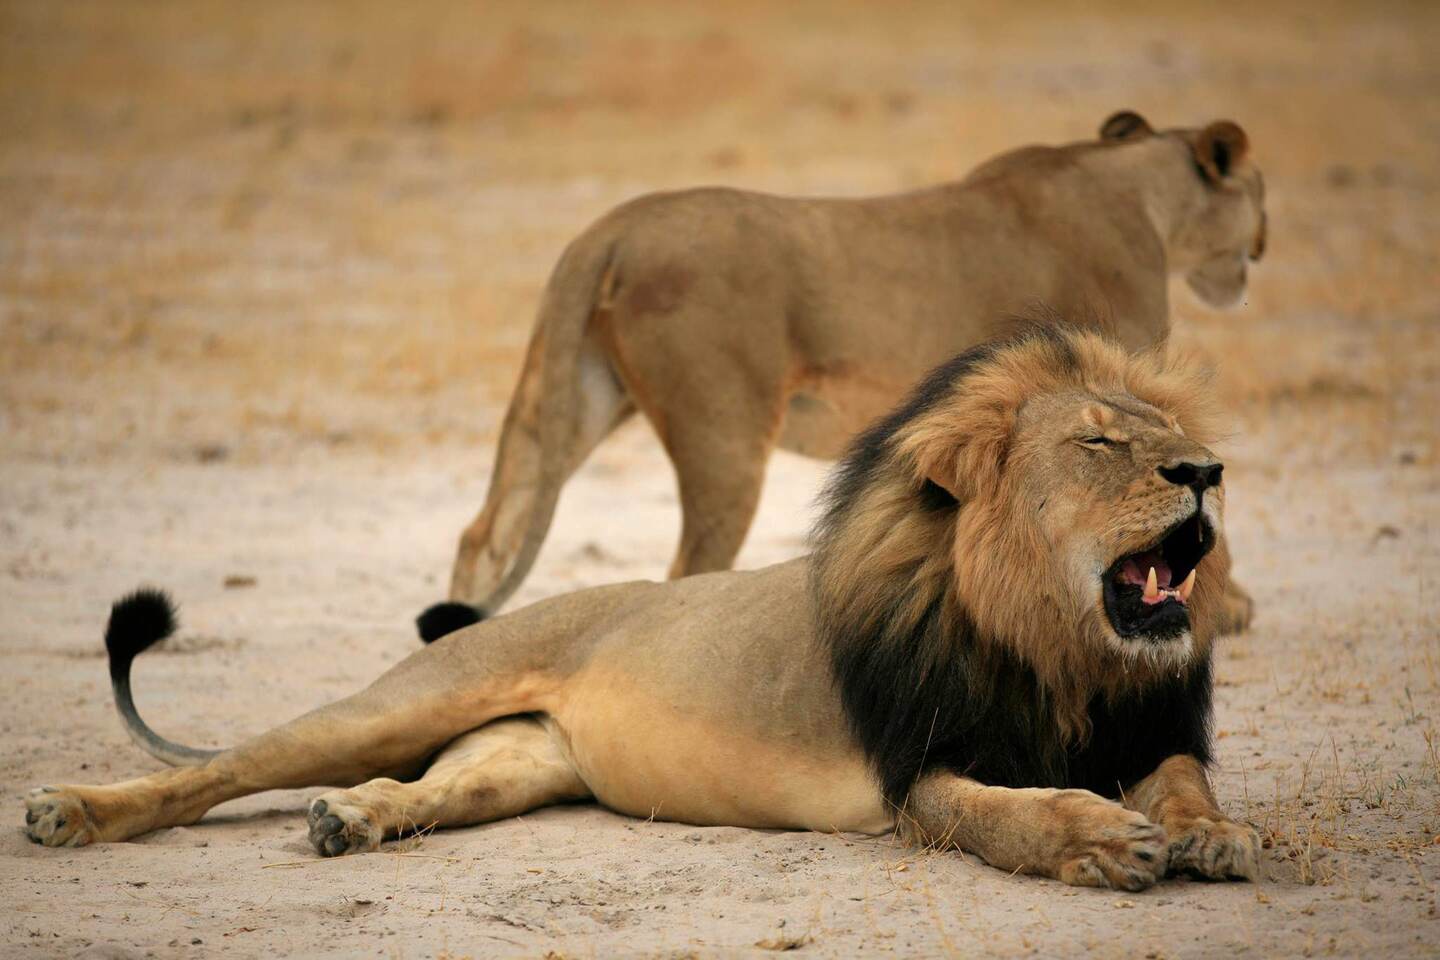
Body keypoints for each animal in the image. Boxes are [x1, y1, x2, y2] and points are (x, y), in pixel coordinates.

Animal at [26, 328, 1259, 890]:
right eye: (1099, 444)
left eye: (1166, 434)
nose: (1208, 471)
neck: (1060, 651)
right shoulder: (919, 771)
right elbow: (1010, 814)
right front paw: (1101, 839)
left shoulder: (1145, 727)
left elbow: (1184, 782)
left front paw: (1212, 835)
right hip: (404, 700)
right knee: (219, 771)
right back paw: (71, 813)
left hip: (516, 762)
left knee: (422, 789)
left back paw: (353, 821)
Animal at [436, 110, 1266, 637]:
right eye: (1258, 191)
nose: (1261, 244)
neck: (1144, 194)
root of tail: (609, 228)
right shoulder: (1113, 379)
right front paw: (1225, 607)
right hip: (723, 435)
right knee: (686, 570)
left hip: (573, 397)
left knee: (485, 532)